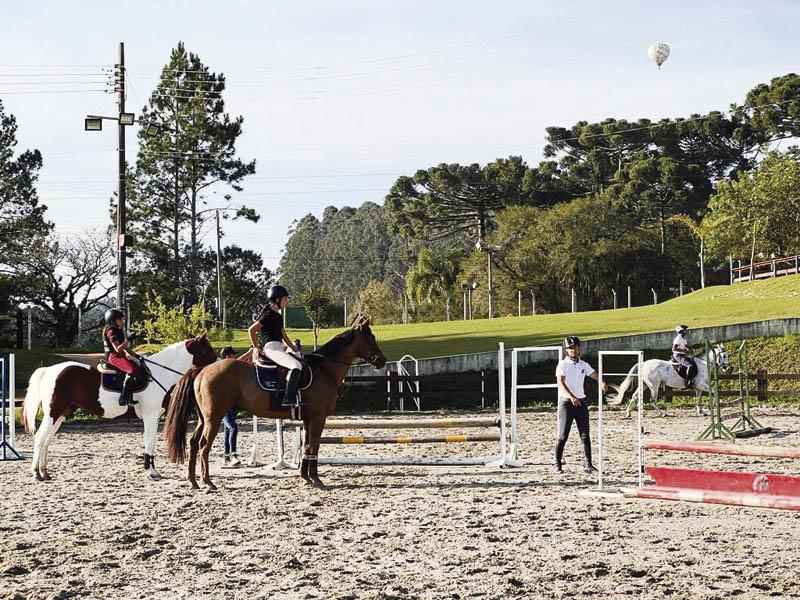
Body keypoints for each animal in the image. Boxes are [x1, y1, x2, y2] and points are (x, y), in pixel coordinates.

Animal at [21, 336, 216, 480]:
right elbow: (149, 442)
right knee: (40, 438)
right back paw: (36, 473)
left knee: (46, 441)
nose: (217, 365)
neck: (158, 373)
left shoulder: (153, 418)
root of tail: (49, 370)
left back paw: (45, 472)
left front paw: (153, 470)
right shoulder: (150, 417)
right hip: (53, 414)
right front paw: (151, 471)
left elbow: (151, 443)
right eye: (207, 349)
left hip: (60, 415)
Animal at [164, 316, 386, 490]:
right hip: (214, 417)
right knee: (204, 445)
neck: (325, 370)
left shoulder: (308, 419)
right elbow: (313, 446)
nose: (382, 360)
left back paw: (193, 481)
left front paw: (305, 477)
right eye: (371, 338)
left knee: (194, 443)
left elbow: (307, 446)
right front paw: (315, 479)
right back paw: (208, 482)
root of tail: (202, 370)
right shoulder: (318, 418)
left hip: (204, 418)